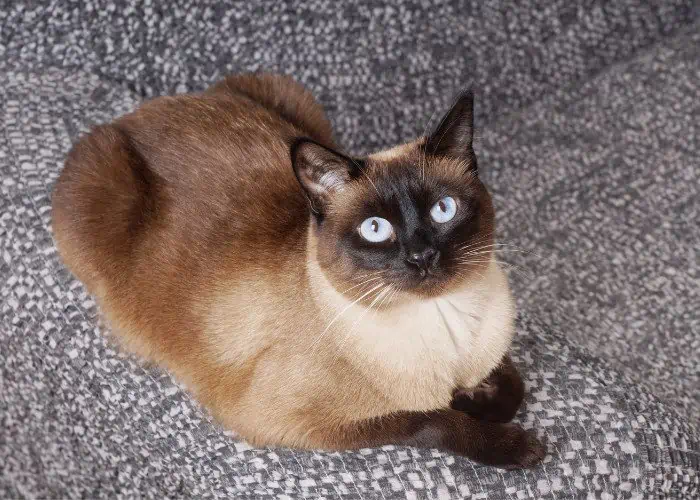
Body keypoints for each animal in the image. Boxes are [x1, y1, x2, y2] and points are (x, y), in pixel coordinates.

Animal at [54, 73, 548, 468]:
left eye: (443, 209)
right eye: (376, 229)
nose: (422, 257)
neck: (448, 328)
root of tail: (141, 110)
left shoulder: (495, 353)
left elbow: (512, 386)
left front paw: (474, 398)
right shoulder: (286, 421)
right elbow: (429, 419)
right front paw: (515, 445)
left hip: (294, 97)